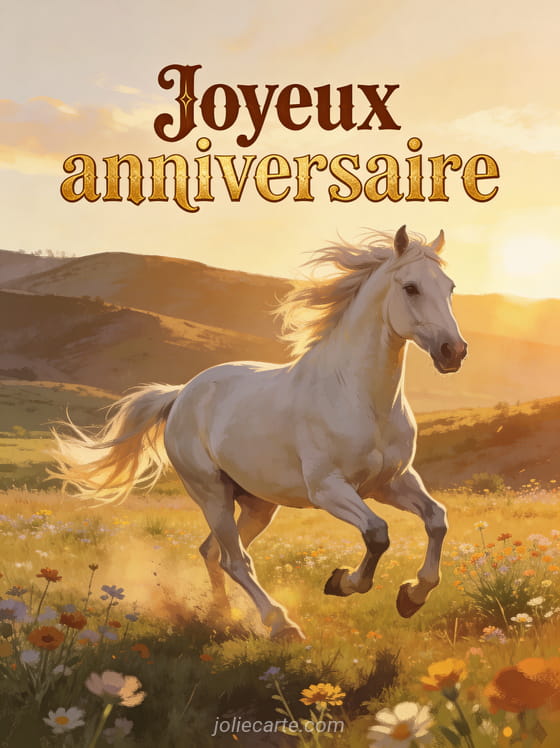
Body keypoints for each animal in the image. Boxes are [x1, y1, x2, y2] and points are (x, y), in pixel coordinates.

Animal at [51, 225, 467, 641]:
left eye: (450, 287)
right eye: (411, 288)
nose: (454, 351)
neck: (357, 395)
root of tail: (182, 394)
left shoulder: (390, 482)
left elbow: (437, 519)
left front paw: (412, 596)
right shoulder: (329, 489)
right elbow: (378, 533)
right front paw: (342, 582)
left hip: (258, 504)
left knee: (214, 552)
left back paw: (222, 616)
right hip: (212, 494)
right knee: (234, 559)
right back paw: (281, 624)